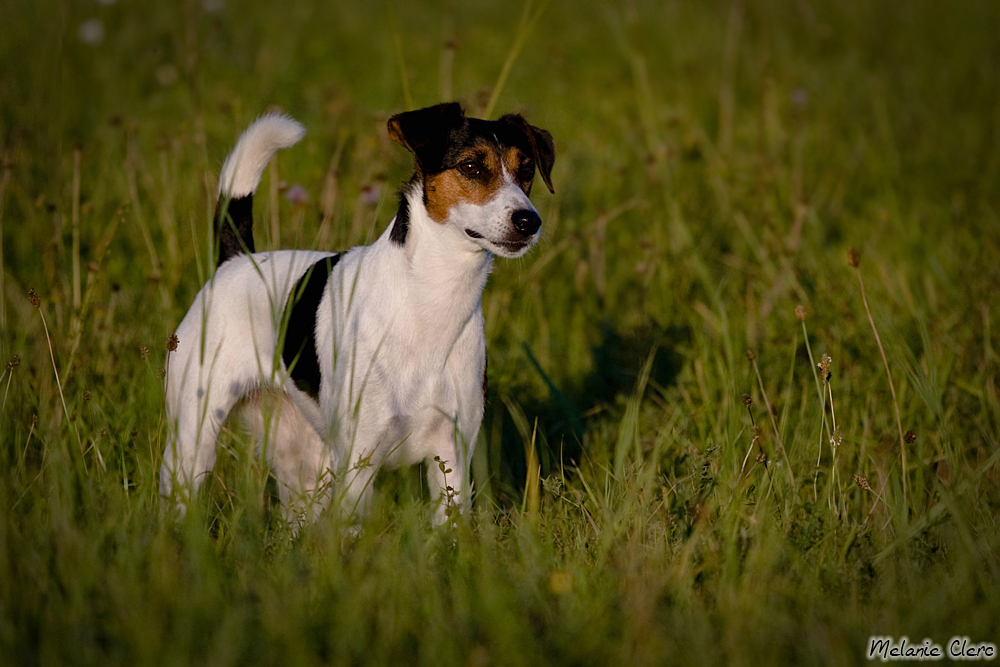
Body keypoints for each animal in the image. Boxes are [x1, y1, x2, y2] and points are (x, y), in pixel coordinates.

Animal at [161, 103, 560, 528]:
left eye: (527, 170)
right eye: (471, 166)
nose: (528, 221)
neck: (431, 302)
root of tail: (237, 260)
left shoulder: (453, 453)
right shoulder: (358, 459)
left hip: (302, 458)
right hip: (193, 439)